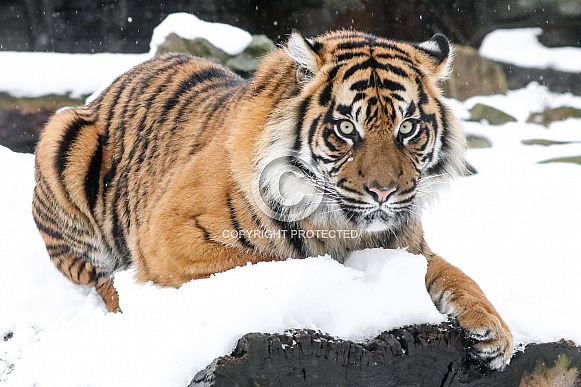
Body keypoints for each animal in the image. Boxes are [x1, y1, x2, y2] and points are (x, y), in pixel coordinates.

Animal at [31, 29, 512, 370]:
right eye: (346, 129)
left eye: (408, 128)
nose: (384, 192)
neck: (342, 226)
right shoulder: (170, 237)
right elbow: (273, 262)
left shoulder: (409, 244)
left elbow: (454, 275)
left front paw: (494, 333)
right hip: (62, 138)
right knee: (97, 278)